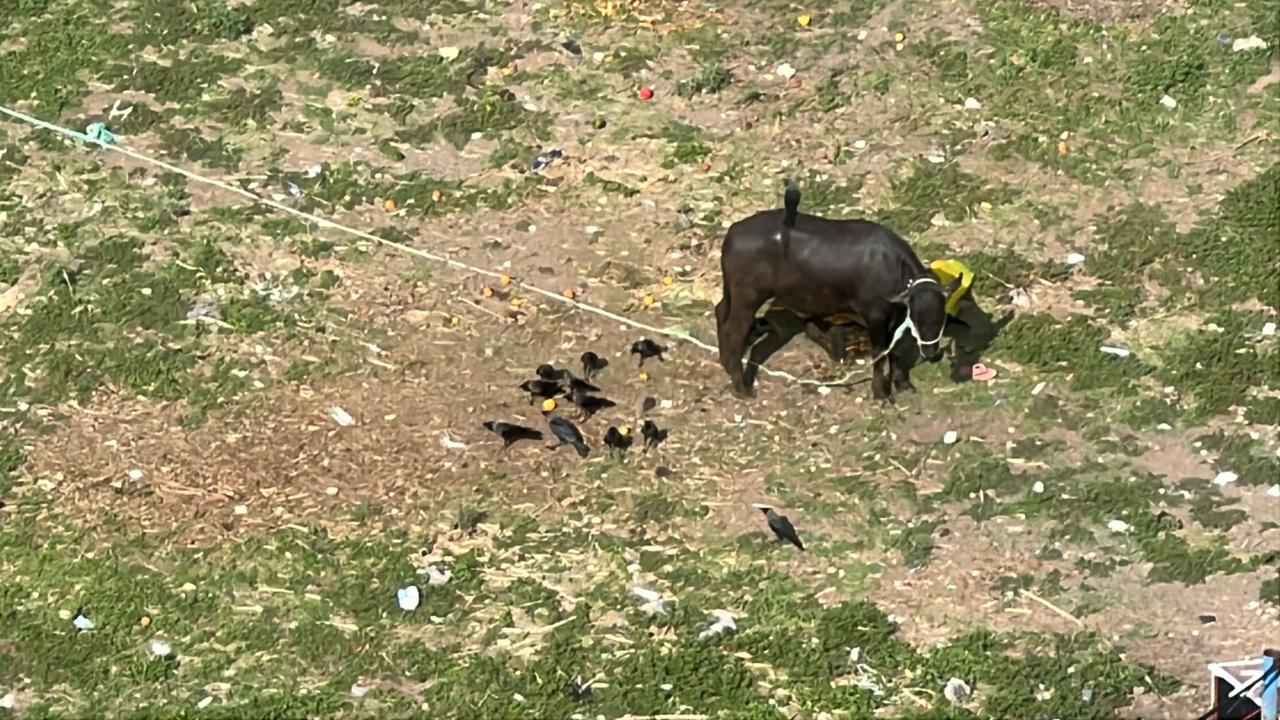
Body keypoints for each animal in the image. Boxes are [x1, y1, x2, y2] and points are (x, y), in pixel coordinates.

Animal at [714, 182, 957, 403]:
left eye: (941, 317)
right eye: (918, 318)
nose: (932, 353)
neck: (890, 267)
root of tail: (732, 233)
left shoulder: (895, 316)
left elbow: (895, 349)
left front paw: (903, 383)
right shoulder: (875, 316)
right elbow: (879, 353)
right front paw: (880, 393)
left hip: (733, 295)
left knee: (720, 312)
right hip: (747, 297)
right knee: (734, 331)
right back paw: (742, 387)